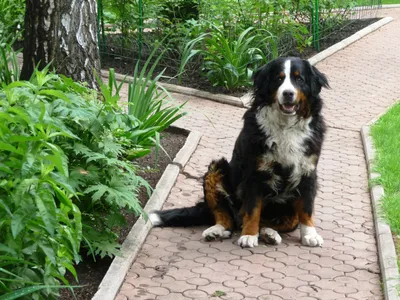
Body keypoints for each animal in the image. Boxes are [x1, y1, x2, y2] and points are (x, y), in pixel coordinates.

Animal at [150, 56, 328, 248]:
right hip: (216, 170)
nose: (288, 93)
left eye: (299, 79)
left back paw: (269, 233)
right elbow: (252, 208)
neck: (285, 127)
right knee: (227, 218)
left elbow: (306, 208)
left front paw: (310, 234)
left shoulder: (307, 171)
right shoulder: (255, 173)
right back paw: (217, 231)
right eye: (278, 79)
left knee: (278, 222)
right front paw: (249, 235)